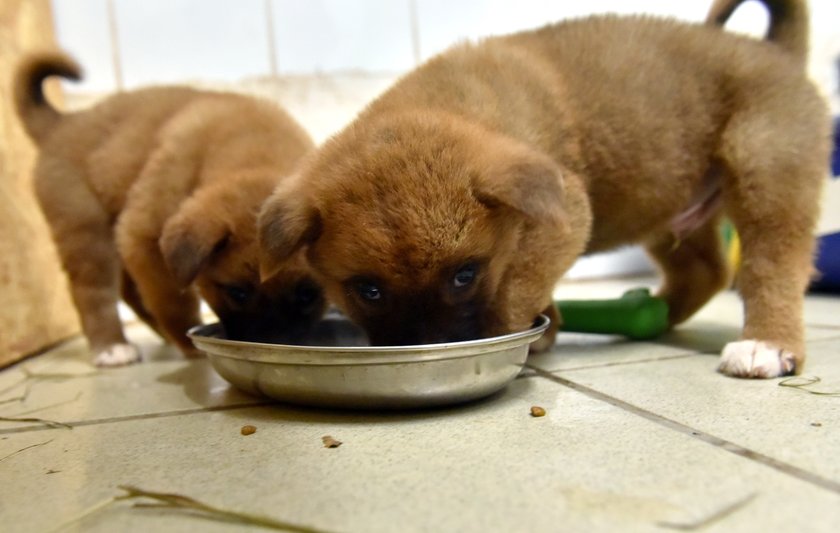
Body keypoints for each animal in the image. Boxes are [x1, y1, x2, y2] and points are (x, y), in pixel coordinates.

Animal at [15, 50, 328, 366]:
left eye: (308, 294)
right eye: (237, 292)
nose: (275, 349)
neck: (254, 150)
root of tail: (64, 122)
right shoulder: (144, 237)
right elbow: (174, 301)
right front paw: (188, 340)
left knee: (128, 291)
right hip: (85, 230)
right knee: (93, 292)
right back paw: (112, 346)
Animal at [260, 0, 832, 378]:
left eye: (466, 275)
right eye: (369, 290)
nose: (428, 350)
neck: (443, 106)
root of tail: (775, 52)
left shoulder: (563, 219)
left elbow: (515, 289)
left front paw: (522, 337)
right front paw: (551, 323)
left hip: (767, 176)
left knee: (771, 266)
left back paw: (766, 343)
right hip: (671, 209)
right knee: (707, 270)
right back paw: (652, 314)